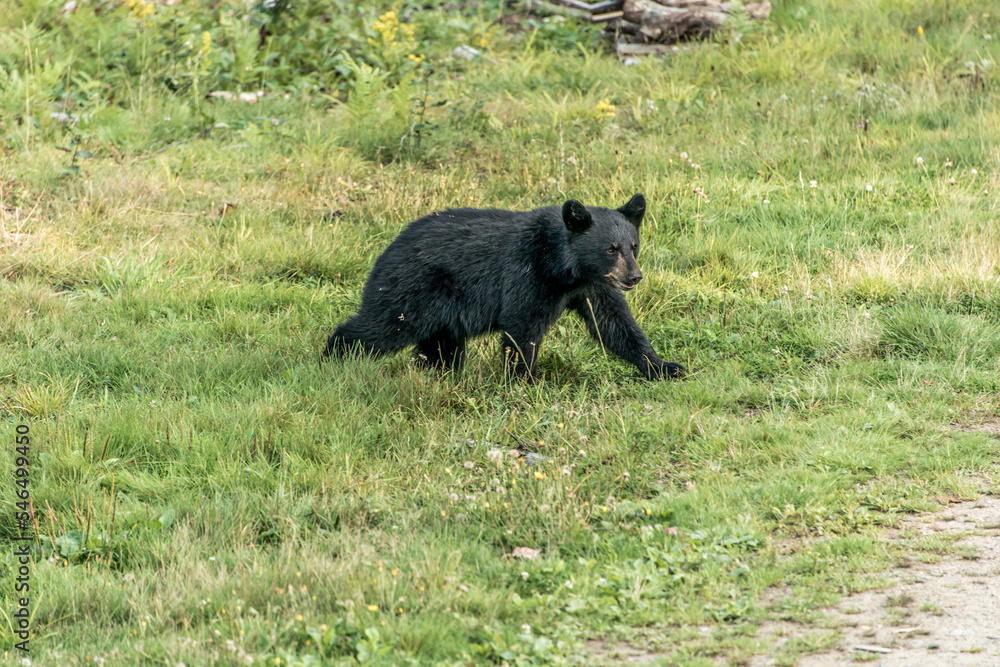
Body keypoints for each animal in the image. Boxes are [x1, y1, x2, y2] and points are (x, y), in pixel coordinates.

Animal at [323, 193, 685, 381]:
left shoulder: (593, 286)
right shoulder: (527, 275)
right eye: (611, 248)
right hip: (411, 292)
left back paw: (440, 377)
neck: (565, 266)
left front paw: (665, 366)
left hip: (442, 314)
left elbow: (615, 324)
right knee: (379, 327)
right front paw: (524, 381)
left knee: (441, 348)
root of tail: (386, 251)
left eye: (633, 246)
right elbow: (522, 328)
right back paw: (333, 358)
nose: (634, 277)